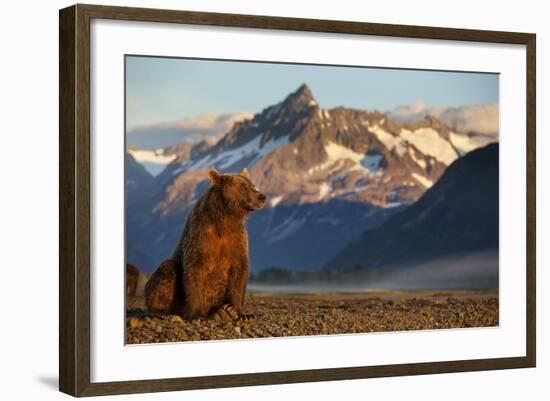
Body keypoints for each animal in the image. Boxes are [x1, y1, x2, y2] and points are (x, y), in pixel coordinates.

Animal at [144, 167, 268, 320]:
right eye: (243, 186)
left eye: (252, 184)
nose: (262, 196)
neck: (225, 217)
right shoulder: (201, 237)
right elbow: (194, 271)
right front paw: (197, 313)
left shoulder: (237, 239)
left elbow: (240, 271)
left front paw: (240, 311)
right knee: (166, 271)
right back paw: (160, 311)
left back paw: (223, 313)